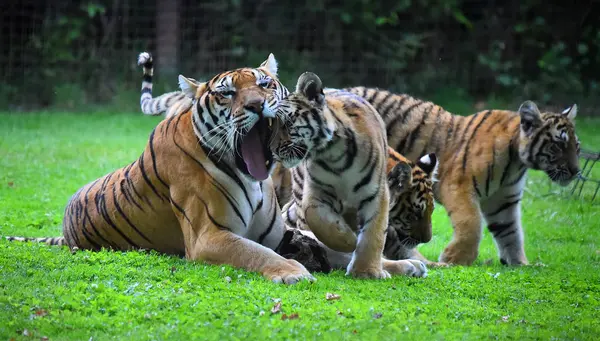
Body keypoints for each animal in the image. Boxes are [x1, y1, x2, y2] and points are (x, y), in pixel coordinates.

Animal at [346, 85, 580, 266]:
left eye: (576, 146)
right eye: (559, 145)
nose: (577, 171)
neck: (516, 163)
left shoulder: (505, 201)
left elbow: (511, 233)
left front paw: (520, 263)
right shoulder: (459, 186)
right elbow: (472, 224)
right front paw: (455, 258)